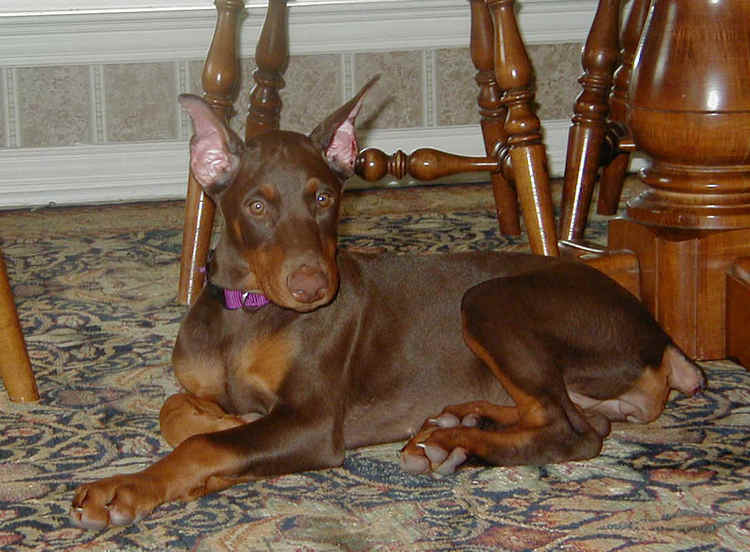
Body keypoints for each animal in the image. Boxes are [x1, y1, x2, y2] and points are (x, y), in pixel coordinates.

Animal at [69, 80, 704, 528]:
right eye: (256, 206)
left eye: (324, 198)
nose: (313, 287)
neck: (248, 310)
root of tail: (661, 337)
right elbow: (176, 409)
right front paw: (218, 417)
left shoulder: (311, 423)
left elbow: (203, 446)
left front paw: (125, 487)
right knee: (573, 416)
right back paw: (456, 423)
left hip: (488, 298)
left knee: (572, 432)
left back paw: (452, 440)